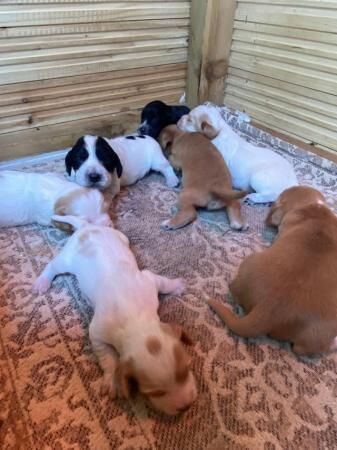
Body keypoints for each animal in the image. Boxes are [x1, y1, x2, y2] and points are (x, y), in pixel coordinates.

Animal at [32, 218, 196, 414]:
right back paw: (42, 281)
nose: (186, 407)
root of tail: (86, 226)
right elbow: (108, 357)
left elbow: (164, 283)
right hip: (67, 259)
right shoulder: (97, 334)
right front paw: (112, 380)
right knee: (52, 266)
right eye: (155, 393)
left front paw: (177, 286)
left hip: (120, 237)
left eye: (187, 369)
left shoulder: (148, 280)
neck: (136, 320)